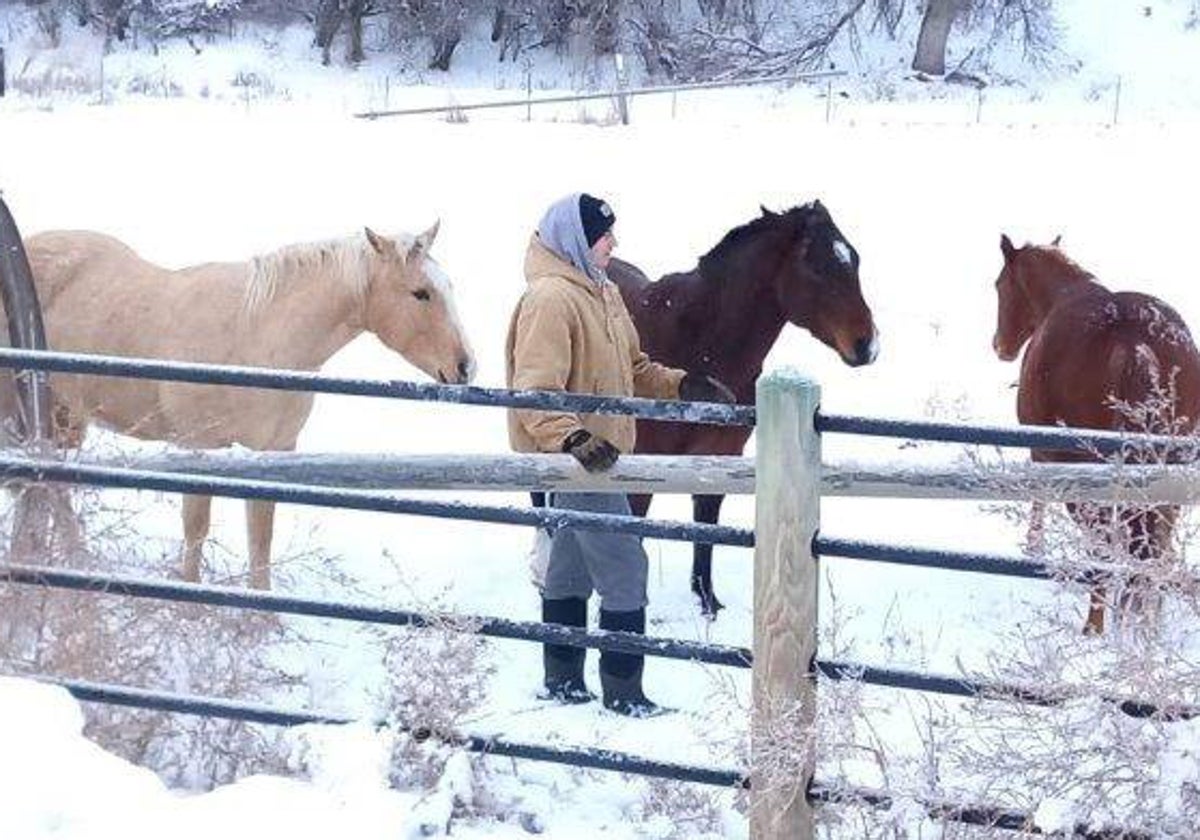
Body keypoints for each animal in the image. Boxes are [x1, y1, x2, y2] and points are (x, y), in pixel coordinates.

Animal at [3, 224, 472, 590]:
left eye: (449, 286)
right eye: (420, 293)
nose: (466, 366)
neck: (256, 336)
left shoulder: (273, 452)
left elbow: (261, 533)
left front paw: (262, 615)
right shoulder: (199, 448)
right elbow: (196, 526)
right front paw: (190, 600)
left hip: (64, 417)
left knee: (54, 483)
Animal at [614, 199, 878, 614]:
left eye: (854, 259)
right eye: (815, 266)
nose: (867, 344)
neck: (698, 345)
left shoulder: (718, 454)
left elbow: (706, 525)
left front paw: (707, 601)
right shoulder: (642, 463)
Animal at [988, 232, 1200, 633]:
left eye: (999, 285)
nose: (1000, 346)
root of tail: (1134, 343)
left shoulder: (1042, 452)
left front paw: (1034, 546)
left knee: (1104, 549)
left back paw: (1094, 628)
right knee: (1155, 549)